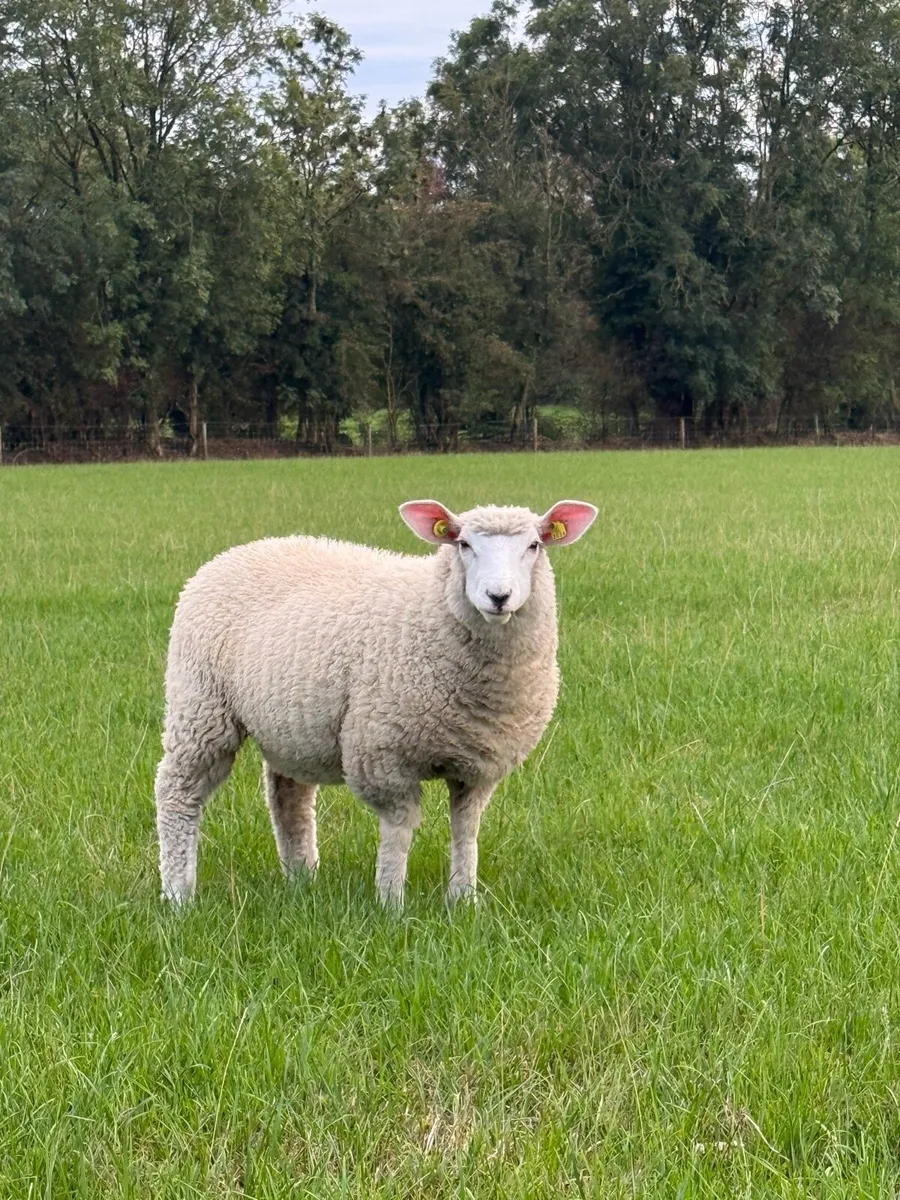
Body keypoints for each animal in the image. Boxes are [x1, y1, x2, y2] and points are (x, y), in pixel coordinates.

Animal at [154, 498, 597, 907]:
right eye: (463, 544)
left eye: (534, 545)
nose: (498, 596)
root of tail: (236, 552)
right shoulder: (383, 754)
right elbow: (399, 831)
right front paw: (391, 903)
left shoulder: (479, 764)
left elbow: (466, 829)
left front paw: (463, 900)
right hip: (200, 705)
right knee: (178, 792)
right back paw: (179, 895)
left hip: (289, 723)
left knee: (289, 797)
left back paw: (301, 878)